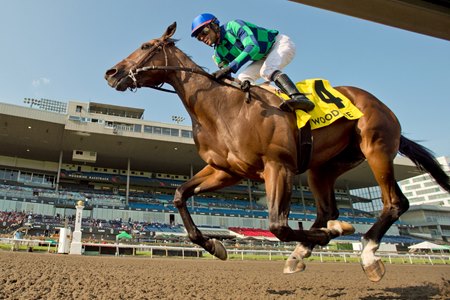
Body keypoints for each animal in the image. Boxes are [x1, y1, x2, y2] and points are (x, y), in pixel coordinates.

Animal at [103, 22, 448, 282]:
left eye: (146, 46)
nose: (111, 72)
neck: (222, 108)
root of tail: (379, 103)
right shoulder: (226, 171)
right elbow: (179, 195)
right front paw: (214, 245)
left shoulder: (276, 166)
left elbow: (277, 225)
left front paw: (333, 235)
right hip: (324, 167)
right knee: (328, 211)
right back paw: (308, 249)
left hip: (376, 147)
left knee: (395, 202)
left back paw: (367, 254)